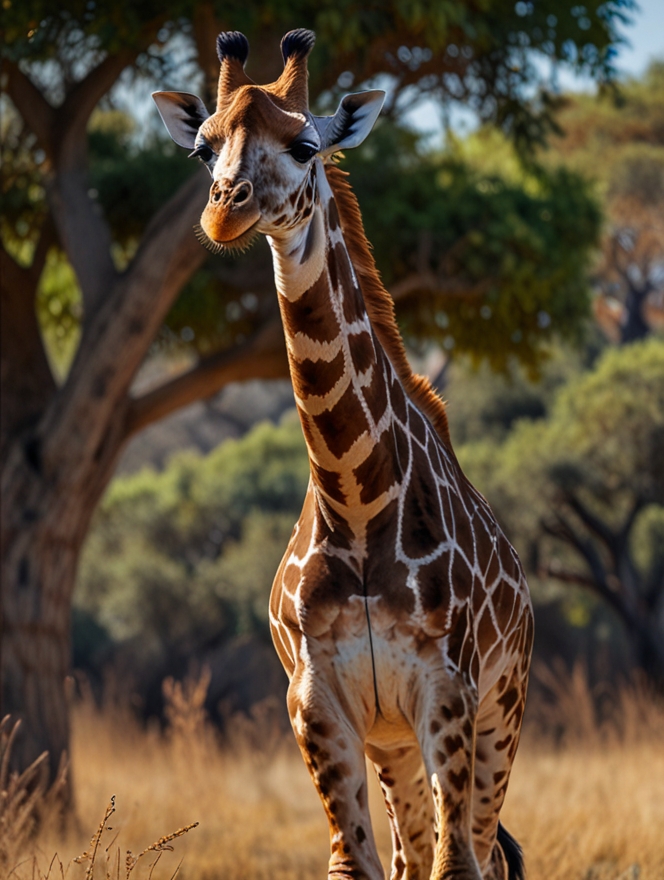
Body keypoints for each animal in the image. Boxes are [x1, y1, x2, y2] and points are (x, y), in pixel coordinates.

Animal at [156, 27, 536, 880]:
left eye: (304, 145)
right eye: (203, 148)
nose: (224, 212)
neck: (357, 500)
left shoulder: (449, 692)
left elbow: (457, 865)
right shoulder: (316, 707)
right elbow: (353, 864)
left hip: (502, 712)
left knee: (483, 850)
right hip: (391, 743)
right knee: (408, 853)